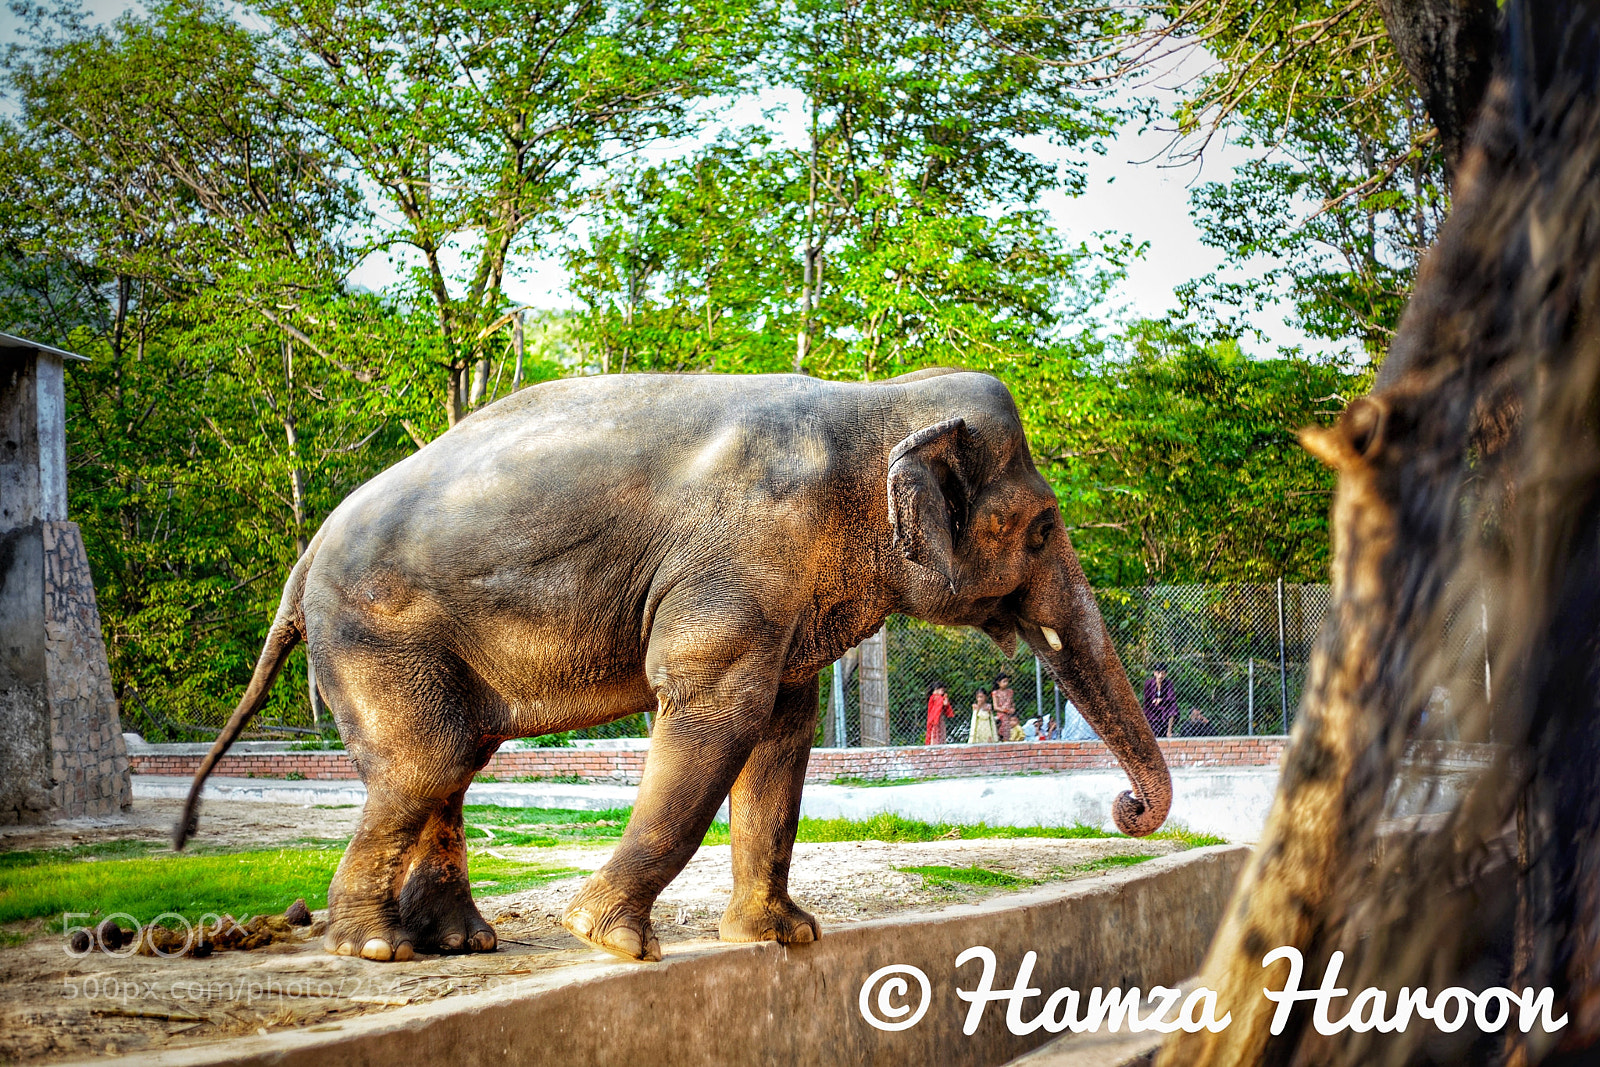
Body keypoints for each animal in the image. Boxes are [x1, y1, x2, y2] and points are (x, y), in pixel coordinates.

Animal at [175, 367, 1172, 963]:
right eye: (1042, 529)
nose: (1125, 810)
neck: (875, 404)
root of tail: (306, 554)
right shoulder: (741, 562)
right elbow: (716, 716)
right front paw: (611, 941)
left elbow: (782, 733)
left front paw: (782, 937)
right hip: (375, 630)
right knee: (431, 760)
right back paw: (377, 950)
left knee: (452, 761)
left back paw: (461, 942)